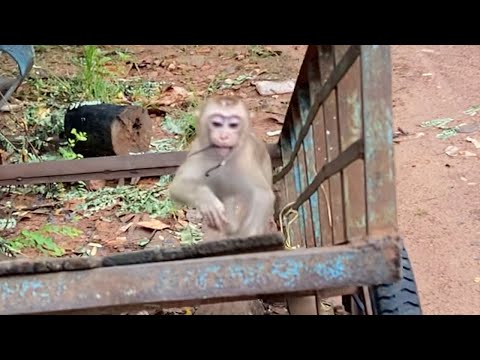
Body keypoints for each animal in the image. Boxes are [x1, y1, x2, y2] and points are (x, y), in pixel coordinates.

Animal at [169, 94, 274, 238]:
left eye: (233, 125)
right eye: (217, 124)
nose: (224, 136)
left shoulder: (246, 158)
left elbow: (262, 194)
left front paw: (248, 234)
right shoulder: (197, 152)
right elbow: (178, 186)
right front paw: (207, 201)